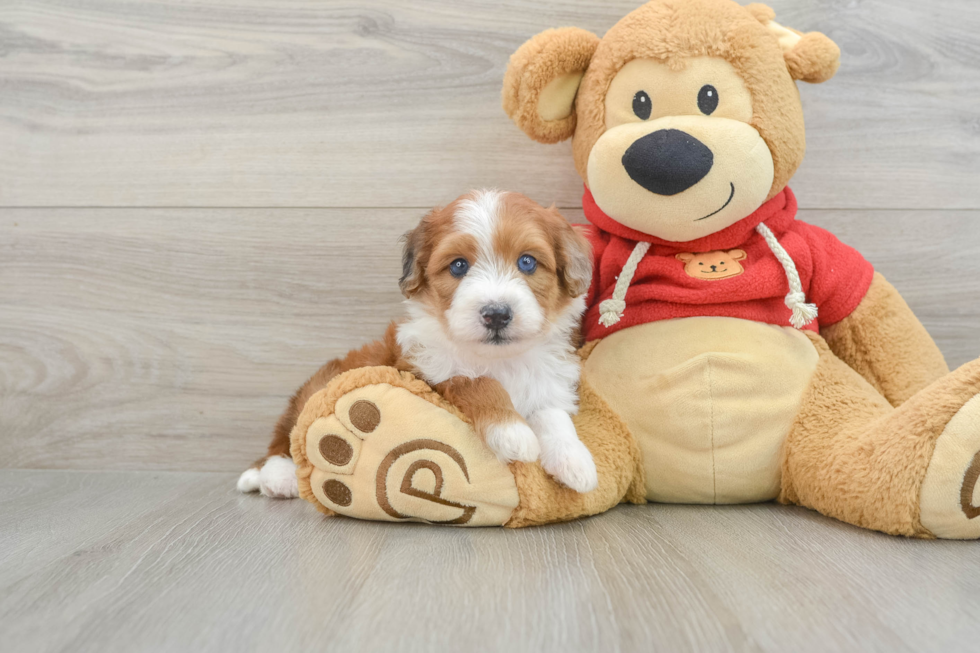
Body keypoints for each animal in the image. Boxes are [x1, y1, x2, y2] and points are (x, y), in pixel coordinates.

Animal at [241, 191, 600, 496]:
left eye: (527, 262)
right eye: (458, 265)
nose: (496, 314)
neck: (499, 359)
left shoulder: (546, 382)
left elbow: (553, 414)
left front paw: (575, 460)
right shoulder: (426, 373)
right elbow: (477, 382)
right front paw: (512, 432)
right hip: (319, 387)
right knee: (286, 439)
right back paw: (277, 478)